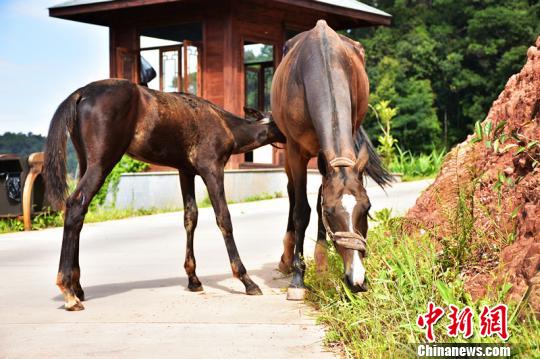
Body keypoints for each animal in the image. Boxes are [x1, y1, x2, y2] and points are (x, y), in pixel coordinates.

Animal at [45, 79, 286, 312]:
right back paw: (69, 292)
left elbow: (190, 217)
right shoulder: (212, 168)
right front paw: (247, 280)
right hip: (101, 162)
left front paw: (193, 279)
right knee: (76, 205)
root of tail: (81, 93)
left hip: (85, 161)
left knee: (79, 212)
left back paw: (77, 287)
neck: (226, 125)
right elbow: (223, 218)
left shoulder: (185, 171)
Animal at [272, 20, 390, 300]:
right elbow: (302, 210)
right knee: (292, 194)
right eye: (331, 212)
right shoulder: (295, 151)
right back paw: (287, 258)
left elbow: (317, 201)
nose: (357, 279)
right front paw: (298, 279)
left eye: (367, 208)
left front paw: (323, 267)